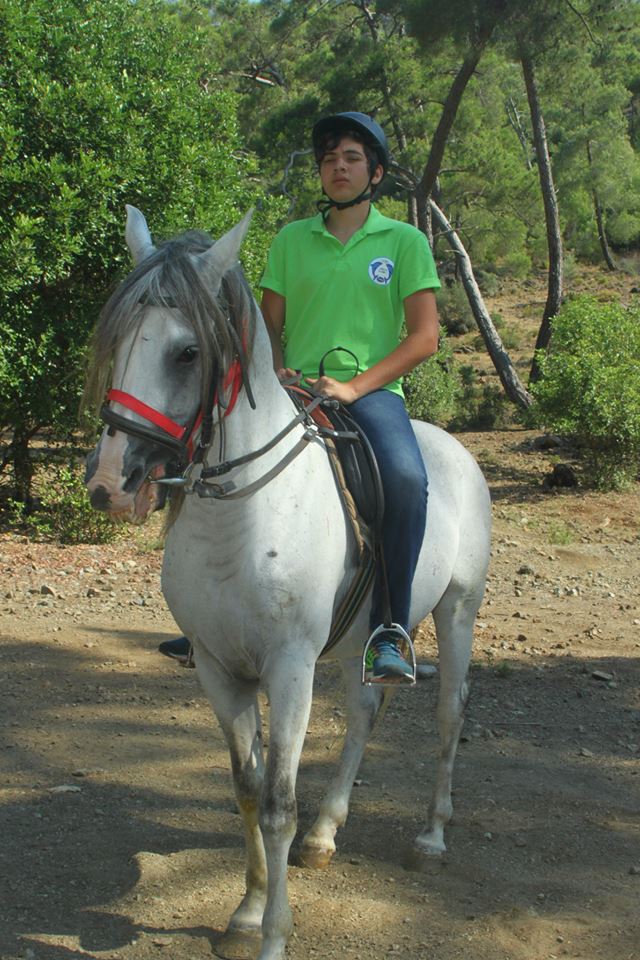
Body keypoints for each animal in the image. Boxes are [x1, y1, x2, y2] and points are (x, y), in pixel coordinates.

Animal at [84, 208, 490, 960]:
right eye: (119, 339)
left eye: (187, 353)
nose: (109, 485)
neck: (240, 516)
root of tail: (453, 448)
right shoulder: (219, 669)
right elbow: (246, 788)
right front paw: (246, 912)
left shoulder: (291, 667)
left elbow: (276, 802)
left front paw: (273, 934)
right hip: (364, 638)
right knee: (364, 711)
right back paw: (326, 833)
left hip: (458, 612)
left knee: (450, 713)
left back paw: (430, 837)